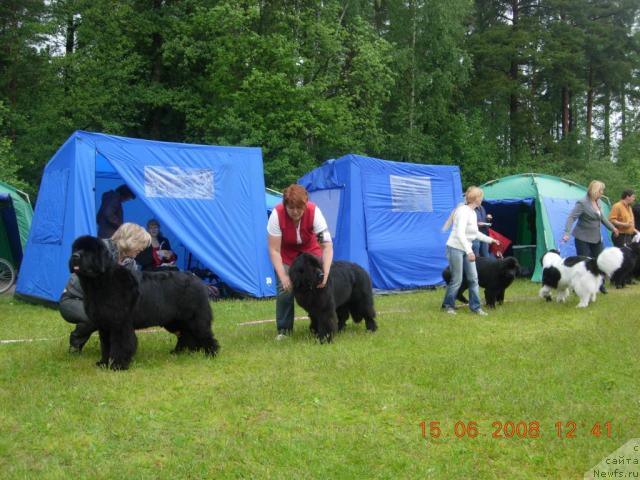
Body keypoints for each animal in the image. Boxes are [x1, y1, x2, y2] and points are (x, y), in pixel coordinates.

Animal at [69, 237, 220, 372]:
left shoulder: (120, 323)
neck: (100, 282)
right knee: (187, 335)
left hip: (195, 318)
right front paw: (104, 363)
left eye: (89, 251)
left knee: (204, 334)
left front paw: (118, 365)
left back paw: (211, 353)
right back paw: (181, 352)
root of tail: (197, 280)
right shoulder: (104, 324)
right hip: (175, 320)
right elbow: (106, 345)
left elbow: (121, 344)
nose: (75, 256)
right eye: (76, 249)